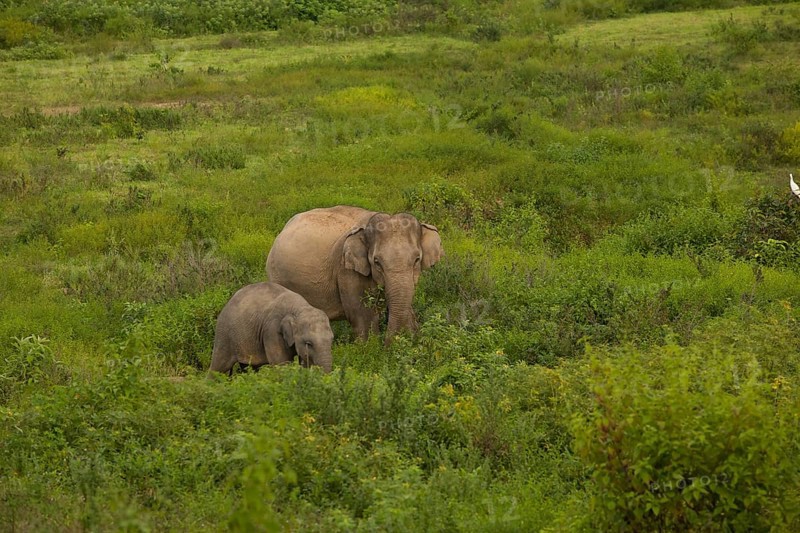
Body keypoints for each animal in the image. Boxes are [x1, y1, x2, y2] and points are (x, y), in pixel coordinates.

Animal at [266, 205, 443, 345]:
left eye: (417, 259)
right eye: (377, 262)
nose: (389, 346)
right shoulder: (346, 269)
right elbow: (362, 315)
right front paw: (370, 349)